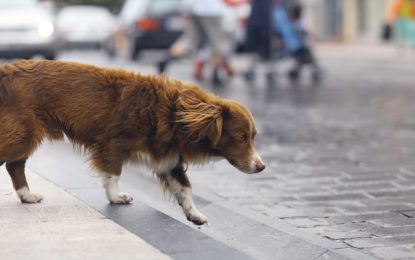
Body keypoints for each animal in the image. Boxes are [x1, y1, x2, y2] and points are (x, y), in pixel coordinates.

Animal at [0, 60, 266, 224]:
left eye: (253, 137)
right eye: (241, 137)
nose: (262, 167)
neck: (172, 114)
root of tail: (5, 71)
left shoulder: (169, 159)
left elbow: (185, 189)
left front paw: (194, 214)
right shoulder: (111, 144)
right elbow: (113, 174)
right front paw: (116, 197)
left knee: (14, 165)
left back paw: (27, 195)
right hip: (22, 134)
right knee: (12, 162)